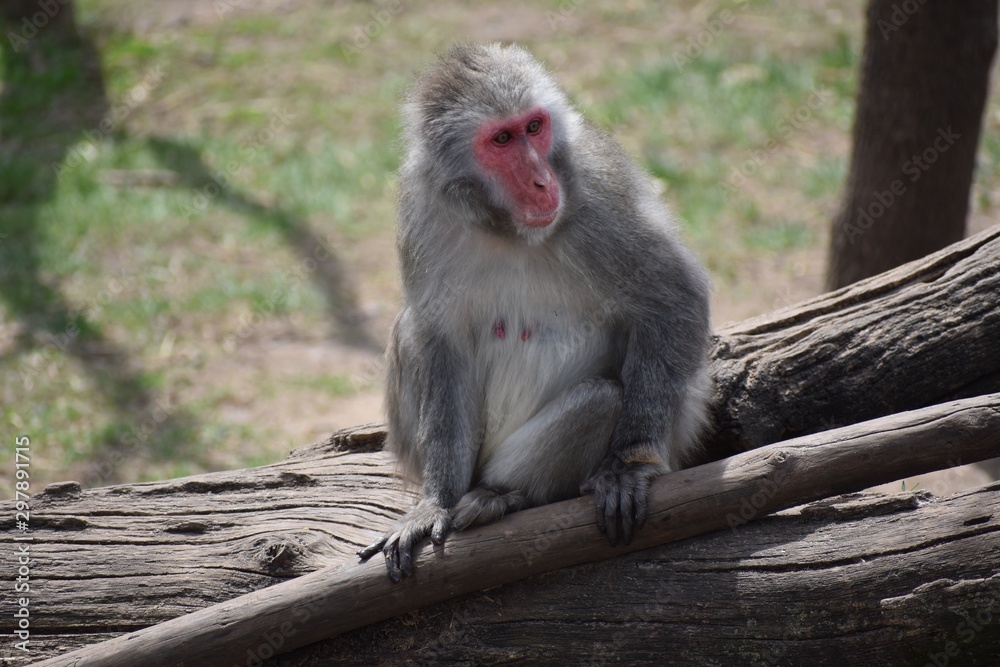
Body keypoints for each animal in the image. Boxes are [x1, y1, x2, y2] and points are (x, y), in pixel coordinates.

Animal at [358, 43, 712, 582]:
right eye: (501, 139)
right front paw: (436, 501)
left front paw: (630, 465)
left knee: (602, 399)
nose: (541, 181)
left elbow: (674, 298)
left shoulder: (600, 203)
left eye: (534, 127)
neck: (506, 228)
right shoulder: (422, 214)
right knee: (409, 330)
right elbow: (440, 342)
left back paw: (502, 495)